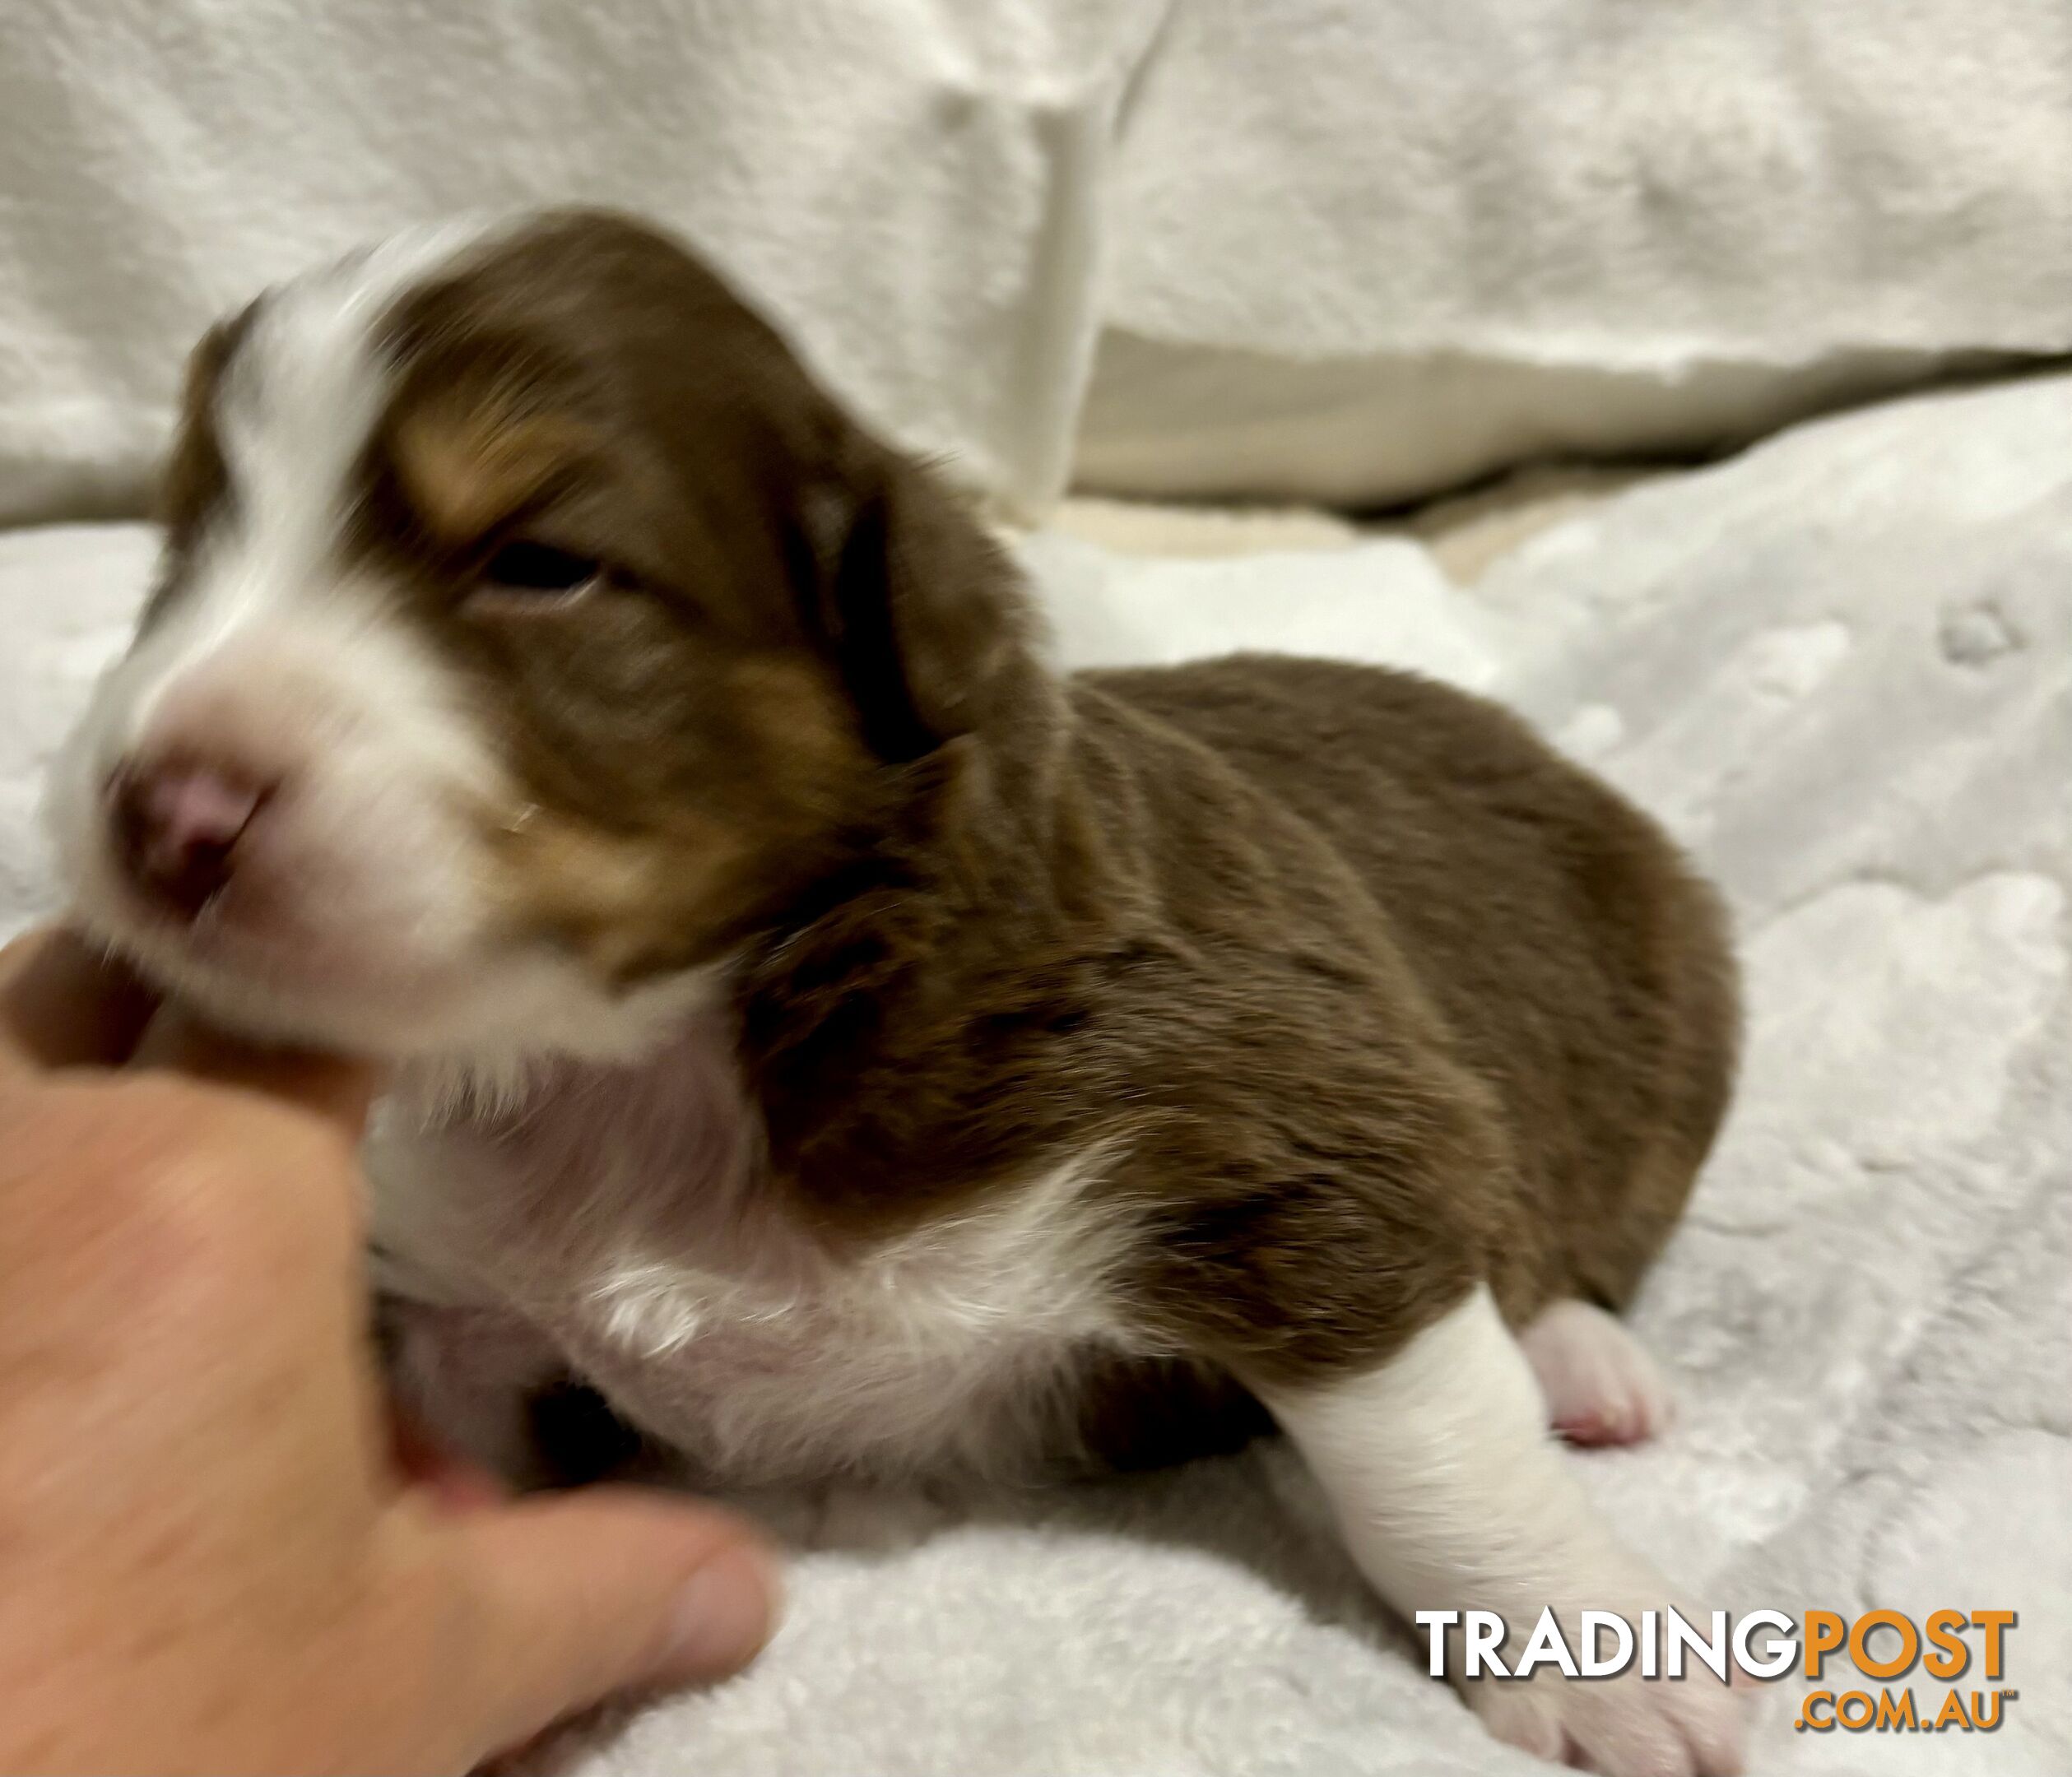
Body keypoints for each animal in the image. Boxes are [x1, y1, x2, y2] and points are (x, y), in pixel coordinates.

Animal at [44, 211, 1732, 1772]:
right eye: (178, 555)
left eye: (539, 565)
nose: (161, 815)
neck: (653, 1064)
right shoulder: (451, 1304)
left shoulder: (1266, 1108)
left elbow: (1428, 1447)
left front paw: (1600, 1658)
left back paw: (1578, 1362)